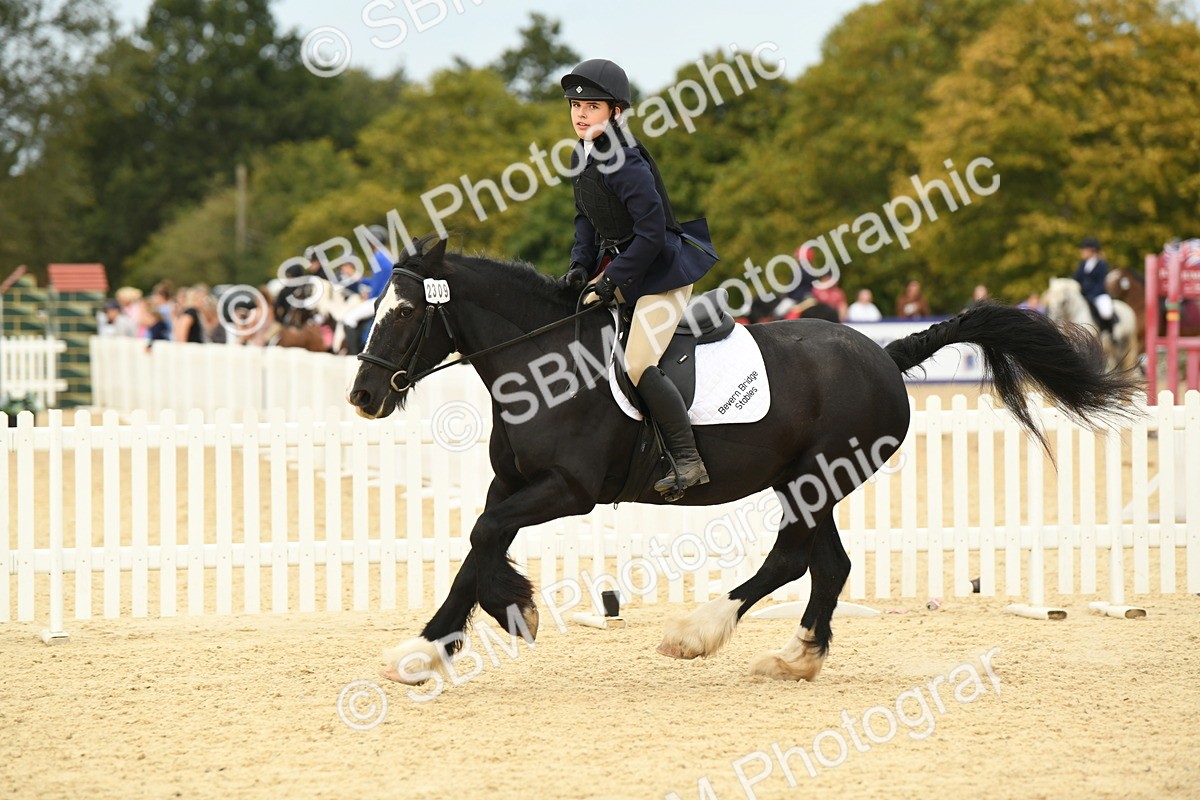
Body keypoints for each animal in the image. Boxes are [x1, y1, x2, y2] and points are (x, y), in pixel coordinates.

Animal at [348, 236, 1139, 684]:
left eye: (406, 313)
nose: (362, 396)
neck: (543, 365)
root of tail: (885, 354)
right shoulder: (512, 482)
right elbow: (481, 542)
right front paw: (464, 630)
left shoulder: (566, 489)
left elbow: (484, 536)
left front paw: (469, 631)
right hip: (804, 480)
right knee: (818, 561)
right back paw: (776, 651)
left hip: (818, 477)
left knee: (804, 561)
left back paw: (720, 638)